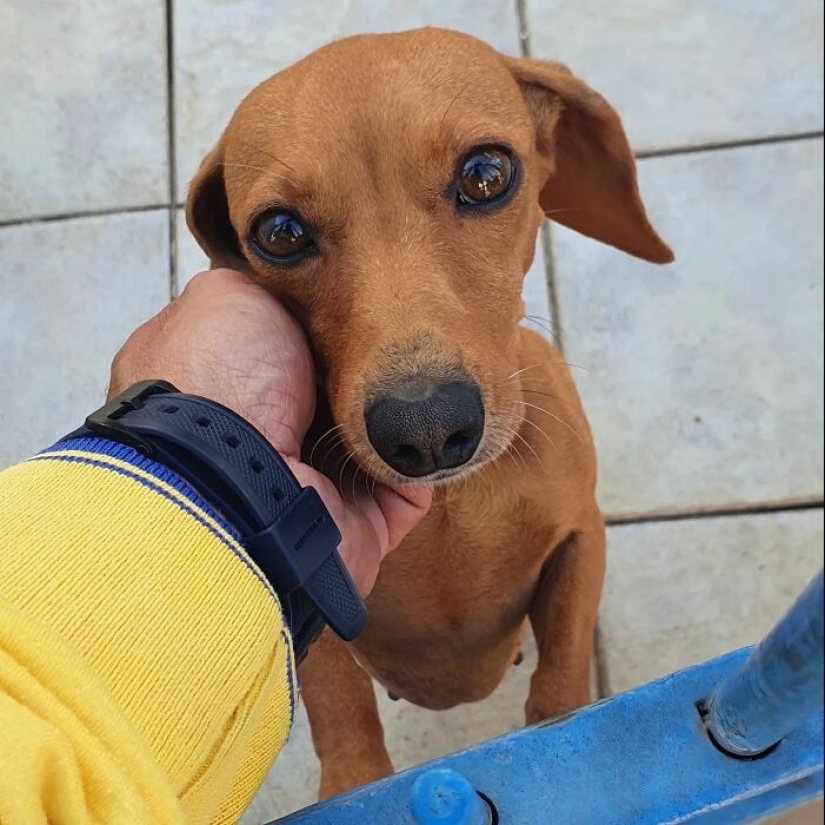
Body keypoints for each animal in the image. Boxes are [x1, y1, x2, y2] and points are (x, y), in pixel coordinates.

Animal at [185, 25, 668, 800]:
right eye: (280, 232)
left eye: (485, 174)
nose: (427, 430)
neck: (452, 513)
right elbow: (342, 718)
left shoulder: (581, 535)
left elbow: (560, 680)